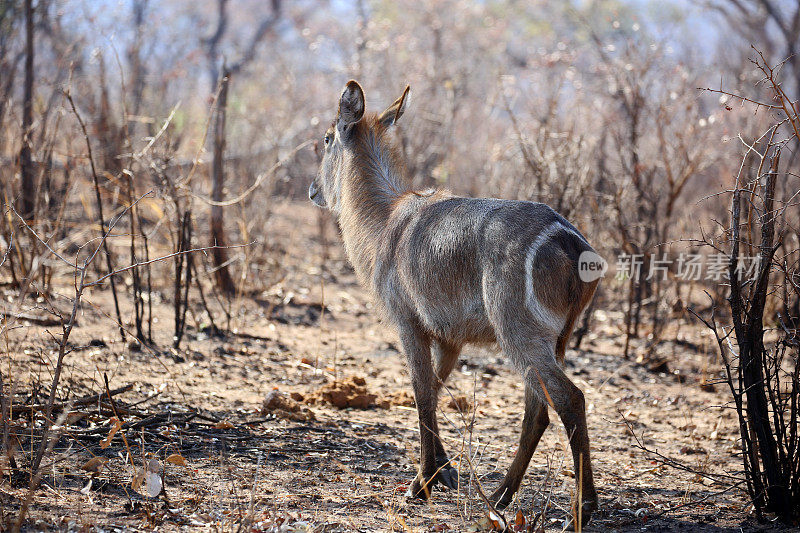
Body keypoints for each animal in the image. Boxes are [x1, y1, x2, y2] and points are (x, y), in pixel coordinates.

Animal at [310, 81, 596, 524]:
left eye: (326, 139)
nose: (313, 192)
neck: (384, 222)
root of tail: (571, 241)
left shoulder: (408, 323)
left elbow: (421, 393)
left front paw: (421, 485)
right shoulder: (450, 339)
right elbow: (435, 387)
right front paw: (444, 473)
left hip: (519, 333)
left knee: (569, 399)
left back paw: (581, 508)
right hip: (553, 341)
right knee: (538, 409)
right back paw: (499, 497)